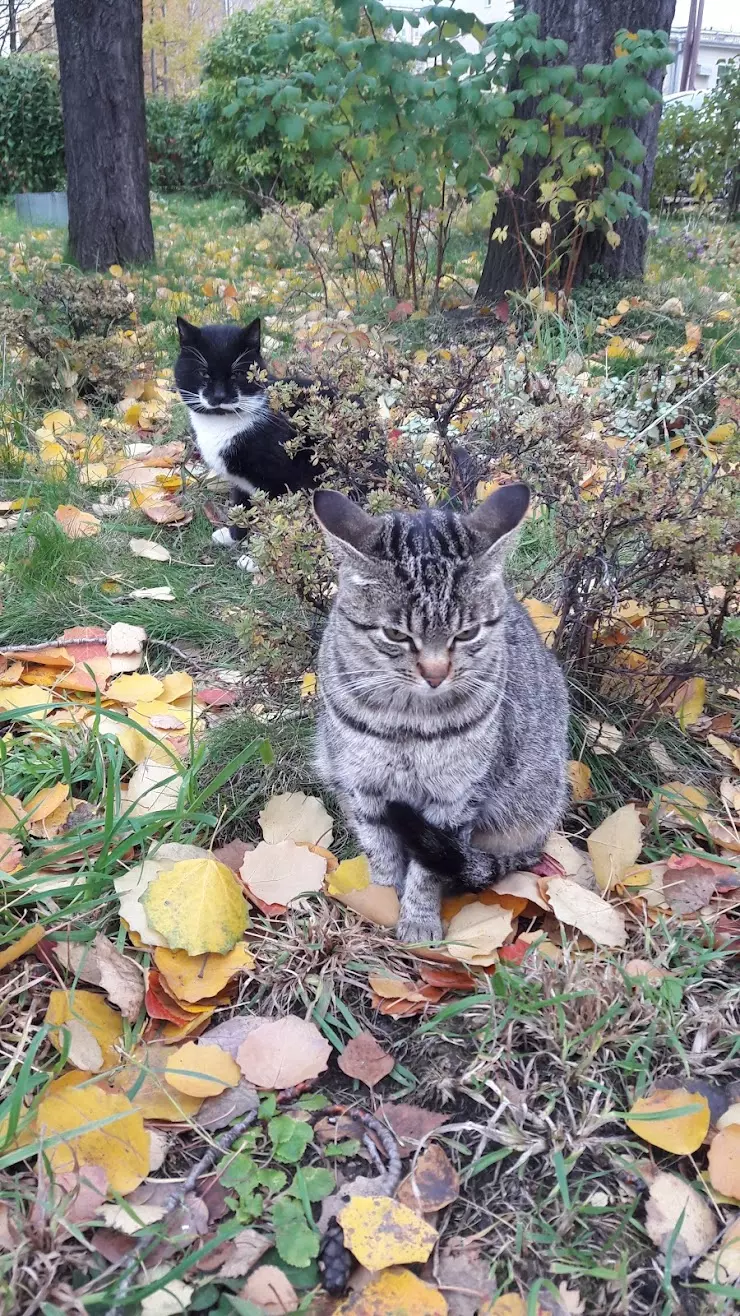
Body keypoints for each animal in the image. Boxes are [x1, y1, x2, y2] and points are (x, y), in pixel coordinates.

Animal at [175, 317, 322, 550]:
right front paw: (233, 536)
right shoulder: (240, 483)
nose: (219, 396)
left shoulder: (280, 482)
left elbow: (277, 518)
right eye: (203, 373)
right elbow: (242, 505)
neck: (222, 424)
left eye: (237, 374)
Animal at [313, 489, 566, 942]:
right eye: (395, 634)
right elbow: (381, 853)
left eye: (467, 633)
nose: (435, 674)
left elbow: (426, 872)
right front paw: (381, 903)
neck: (408, 724)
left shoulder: (455, 801)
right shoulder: (364, 788)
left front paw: (417, 919)